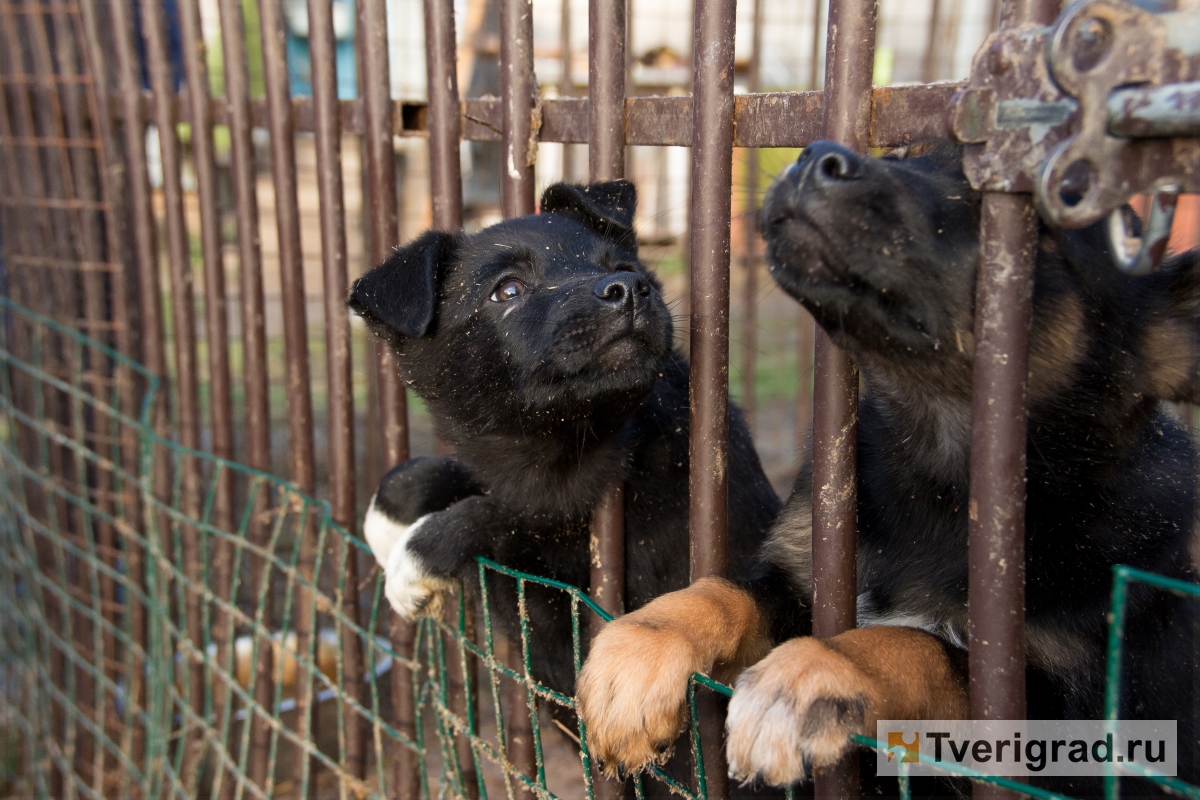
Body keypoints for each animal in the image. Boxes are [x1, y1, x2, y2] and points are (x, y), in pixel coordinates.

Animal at [348, 179, 777, 700]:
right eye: (508, 290)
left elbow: (510, 512)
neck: (563, 442)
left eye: (621, 266)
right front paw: (384, 520)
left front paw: (413, 558)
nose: (628, 288)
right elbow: (447, 473)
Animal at [576, 142, 1195, 796]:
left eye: (1038, 226)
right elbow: (725, 590)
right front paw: (640, 650)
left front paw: (812, 674)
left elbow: (920, 644)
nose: (817, 156)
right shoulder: (798, 586)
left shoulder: (1060, 727)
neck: (938, 479)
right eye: (904, 154)